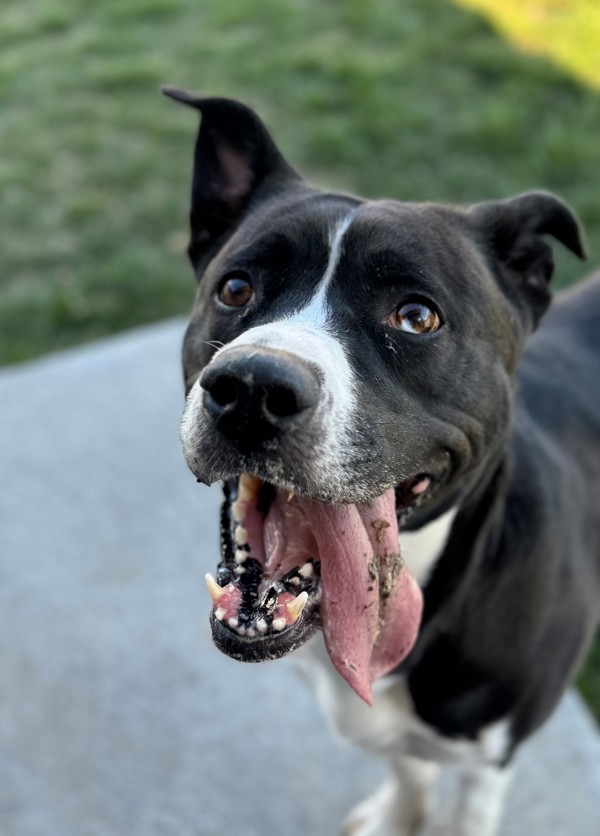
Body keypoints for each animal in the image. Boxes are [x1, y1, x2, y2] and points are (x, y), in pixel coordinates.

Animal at [164, 90, 600, 836]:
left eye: (417, 317)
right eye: (236, 288)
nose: (252, 388)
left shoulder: (490, 761)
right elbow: (407, 770)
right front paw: (399, 816)